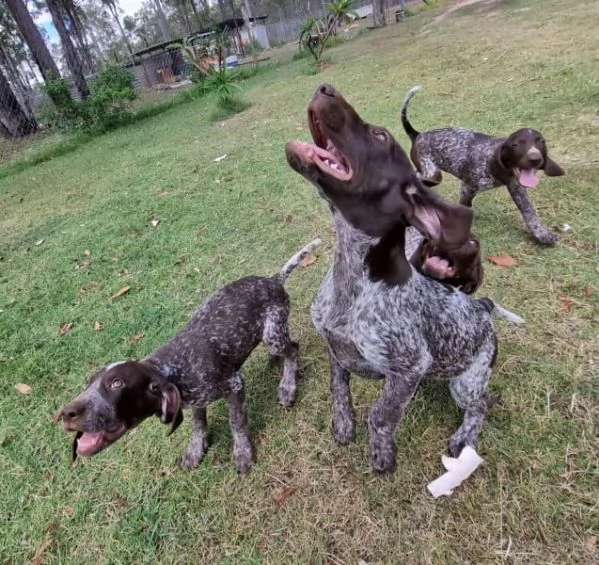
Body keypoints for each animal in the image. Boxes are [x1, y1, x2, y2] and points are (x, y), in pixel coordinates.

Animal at [56, 237, 324, 472]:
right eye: (89, 383)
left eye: (116, 384)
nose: (65, 414)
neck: (170, 370)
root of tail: (273, 280)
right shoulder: (196, 399)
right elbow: (198, 424)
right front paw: (196, 449)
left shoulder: (234, 384)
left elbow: (236, 422)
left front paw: (243, 453)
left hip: (273, 335)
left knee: (293, 350)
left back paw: (287, 386)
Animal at [288, 82, 524, 472]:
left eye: (379, 135)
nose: (325, 87)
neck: (354, 281)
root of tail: (483, 308)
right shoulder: (334, 348)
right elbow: (339, 387)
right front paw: (344, 424)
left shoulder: (410, 368)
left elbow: (382, 415)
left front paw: (382, 453)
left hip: (465, 383)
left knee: (480, 406)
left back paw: (464, 437)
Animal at [400, 85, 564, 245]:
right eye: (516, 145)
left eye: (541, 142)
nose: (535, 158)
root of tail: (418, 135)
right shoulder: (467, 187)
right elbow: (465, 207)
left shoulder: (517, 188)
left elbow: (529, 212)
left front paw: (541, 233)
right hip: (432, 172)